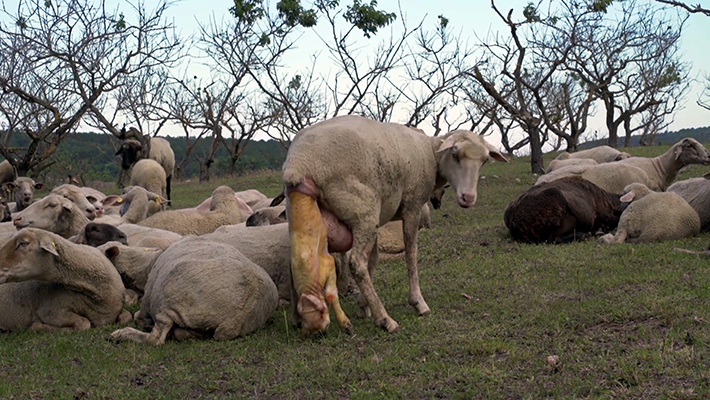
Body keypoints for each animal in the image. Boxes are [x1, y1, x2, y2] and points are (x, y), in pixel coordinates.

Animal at [108, 236, 278, 345]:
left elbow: (138, 316)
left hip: (170, 297)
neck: (147, 264)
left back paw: (121, 334)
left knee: (156, 339)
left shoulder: (147, 299)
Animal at [283, 114, 507, 334]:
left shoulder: (380, 221)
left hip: (308, 214)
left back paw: (300, 319)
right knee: (356, 263)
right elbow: (411, 254)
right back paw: (386, 320)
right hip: (363, 210)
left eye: (484, 160)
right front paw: (418, 303)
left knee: (298, 261)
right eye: (455, 154)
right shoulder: (412, 205)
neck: (430, 152)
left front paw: (363, 306)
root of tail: (299, 163)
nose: (468, 198)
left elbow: (374, 259)